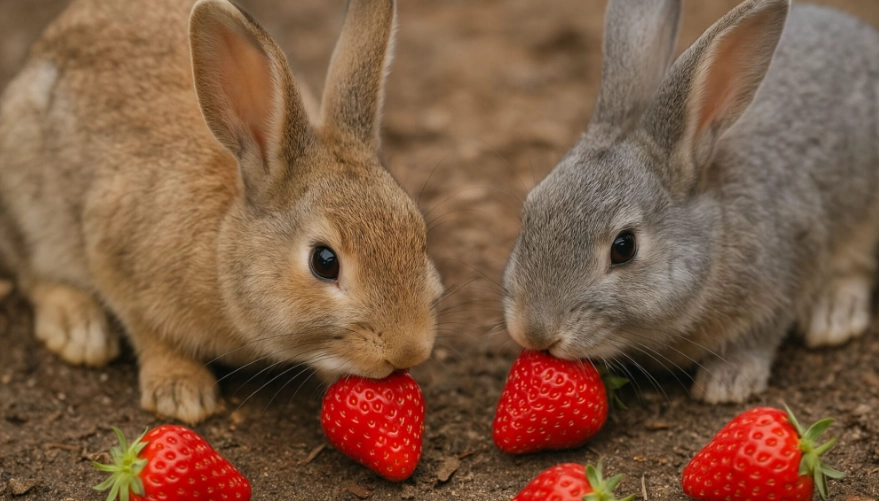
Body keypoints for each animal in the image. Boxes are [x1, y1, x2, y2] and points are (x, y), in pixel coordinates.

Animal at [0, 0, 443, 424]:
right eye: (324, 262)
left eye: (420, 238)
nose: (409, 350)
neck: (223, 248)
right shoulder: (115, 251)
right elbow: (148, 330)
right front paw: (181, 391)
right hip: (28, 196)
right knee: (32, 272)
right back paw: (78, 329)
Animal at [503, 0, 879, 404]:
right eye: (529, 213)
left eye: (624, 247)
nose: (534, 332)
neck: (715, 234)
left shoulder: (785, 275)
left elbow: (759, 336)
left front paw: (727, 383)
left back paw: (834, 315)